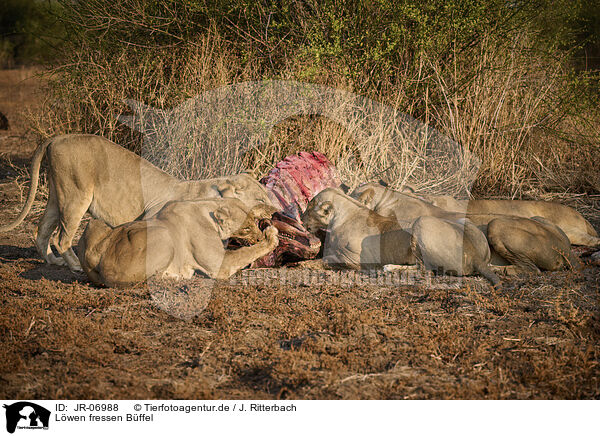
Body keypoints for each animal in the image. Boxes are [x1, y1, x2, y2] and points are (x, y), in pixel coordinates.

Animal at [0, 135, 276, 272]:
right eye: (262, 197)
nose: (277, 210)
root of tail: (56, 138)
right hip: (75, 195)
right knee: (62, 237)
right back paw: (75, 266)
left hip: (57, 197)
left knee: (42, 229)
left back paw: (53, 261)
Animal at [77, 197, 278, 286]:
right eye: (245, 228)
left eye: (254, 223)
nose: (258, 237)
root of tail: (98, 258)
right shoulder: (220, 264)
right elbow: (246, 252)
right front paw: (271, 237)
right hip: (164, 237)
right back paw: (175, 276)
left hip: (94, 224)